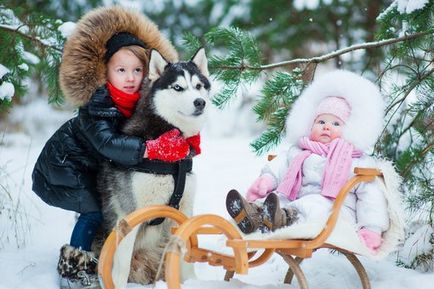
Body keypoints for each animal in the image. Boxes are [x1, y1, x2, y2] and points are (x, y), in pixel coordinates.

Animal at [99, 47, 210, 286]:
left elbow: (186, 257)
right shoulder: (129, 216)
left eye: (198, 86)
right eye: (178, 87)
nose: (200, 102)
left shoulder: (183, 211)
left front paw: (191, 282)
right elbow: (121, 268)